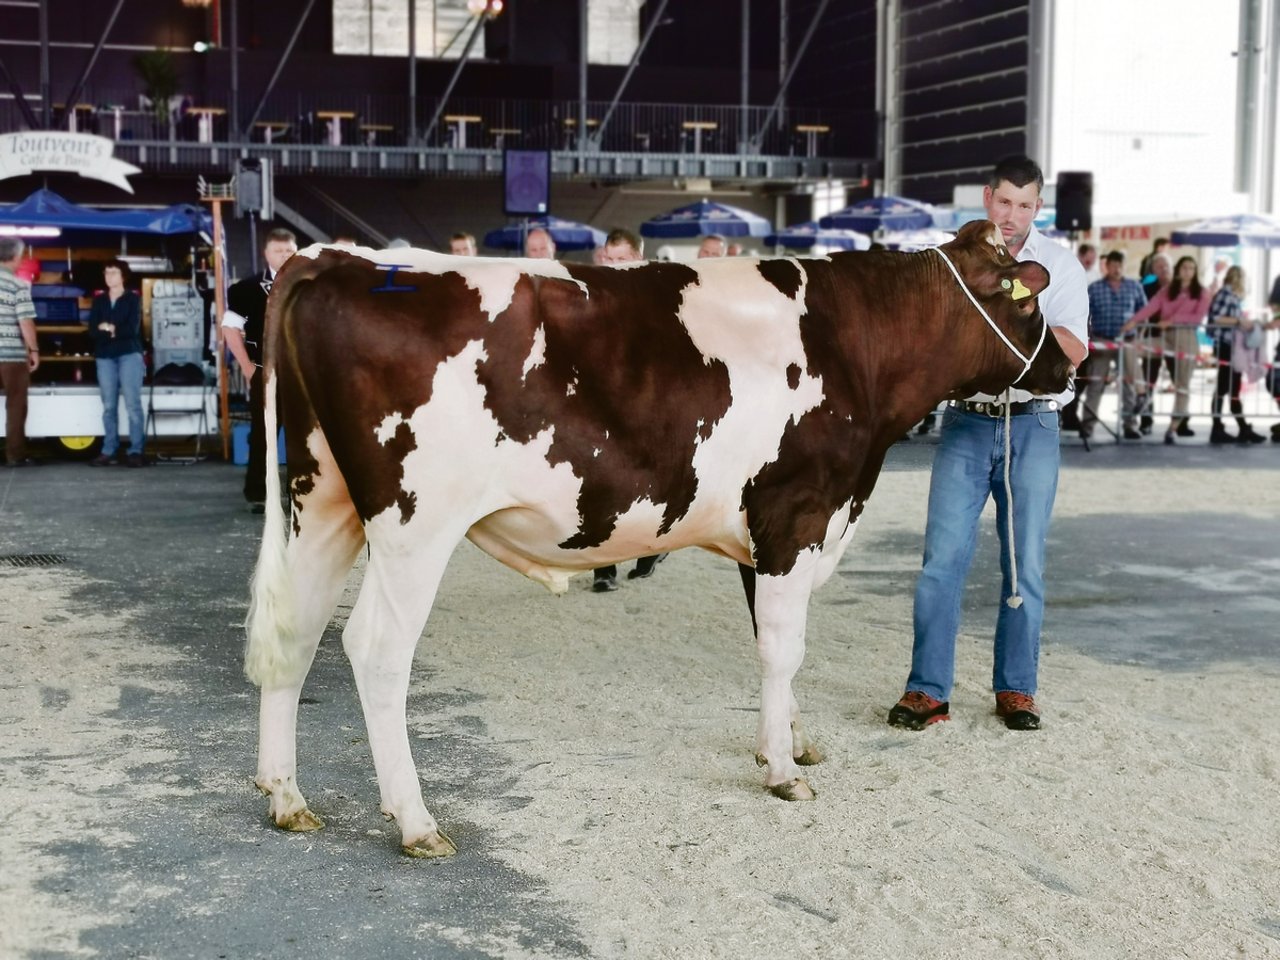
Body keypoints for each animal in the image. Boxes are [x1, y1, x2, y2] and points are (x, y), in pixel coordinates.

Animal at [244, 221, 1075, 860]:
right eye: (1028, 299)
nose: (1071, 364)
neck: (855, 345)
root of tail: (339, 258)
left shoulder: (762, 536)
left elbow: (776, 646)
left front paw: (789, 739)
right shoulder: (795, 514)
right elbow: (785, 648)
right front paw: (783, 771)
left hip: (322, 500)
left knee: (296, 631)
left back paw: (286, 797)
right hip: (415, 523)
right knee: (376, 650)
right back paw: (417, 821)